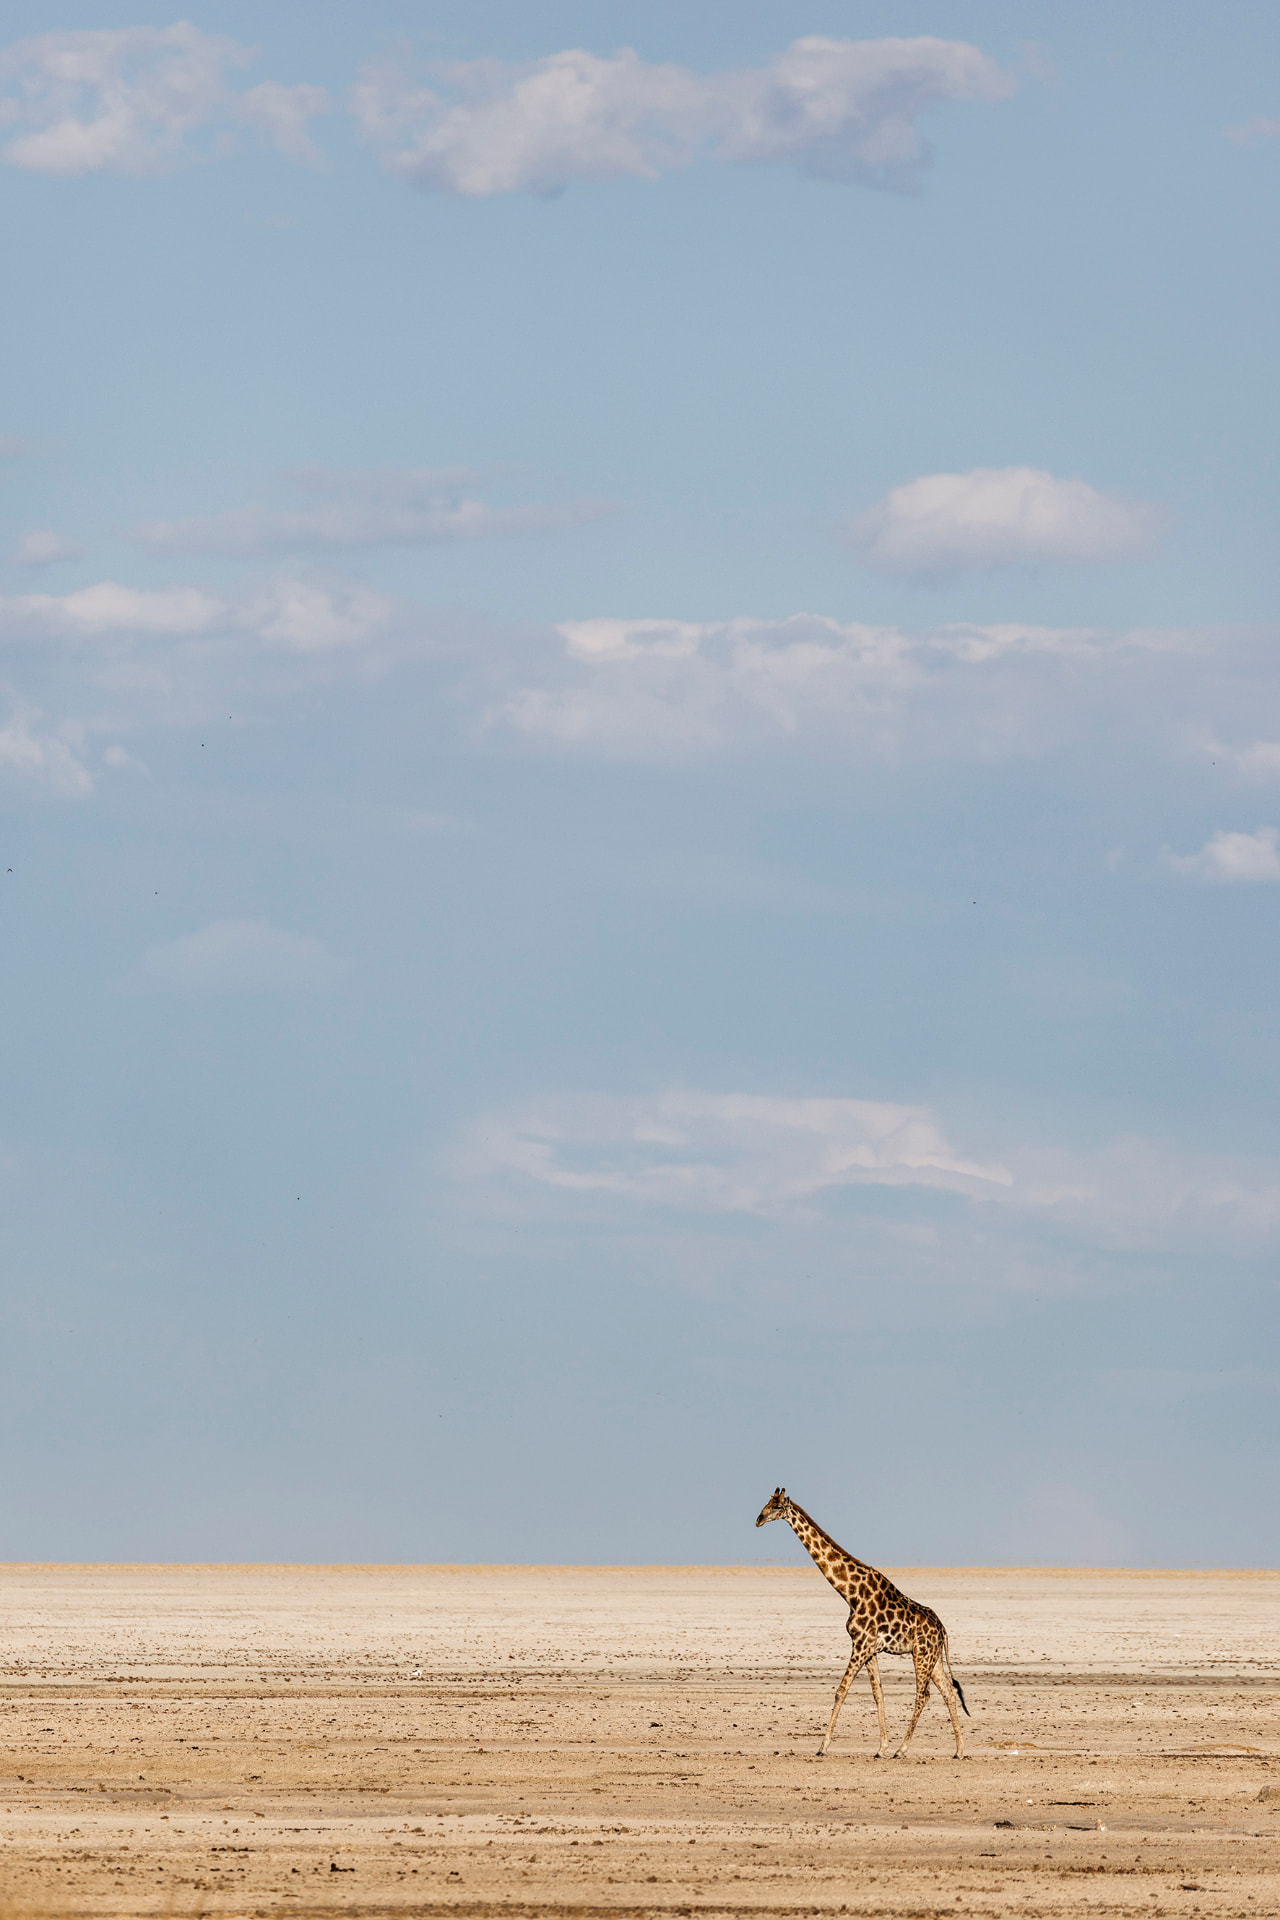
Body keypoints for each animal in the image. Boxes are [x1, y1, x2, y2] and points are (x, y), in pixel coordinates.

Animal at [755, 1486, 970, 1759]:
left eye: (776, 1506)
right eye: (766, 1503)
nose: (758, 1520)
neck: (850, 1593)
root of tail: (942, 1629)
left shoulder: (860, 1645)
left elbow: (841, 1691)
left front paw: (823, 1747)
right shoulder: (869, 1649)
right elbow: (878, 1694)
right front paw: (881, 1747)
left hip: (921, 1655)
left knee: (924, 1695)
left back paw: (902, 1749)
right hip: (933, 1657)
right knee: (949, 1692)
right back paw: (959, 1750)